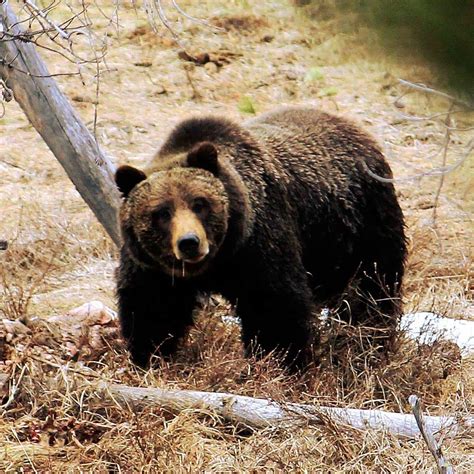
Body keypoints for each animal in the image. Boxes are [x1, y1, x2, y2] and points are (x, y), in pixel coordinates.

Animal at [115, 107, 408, 370]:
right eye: (162, 212)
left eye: (200, 203)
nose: (189, 242)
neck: (217, 262)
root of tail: (356, 129)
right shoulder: (154, 269)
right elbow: (152, 308)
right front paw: (150, 356)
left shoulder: (260, 246)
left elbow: (275, 308)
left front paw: (279, 363)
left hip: (365, 225)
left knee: (372, 289)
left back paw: (366, 345)